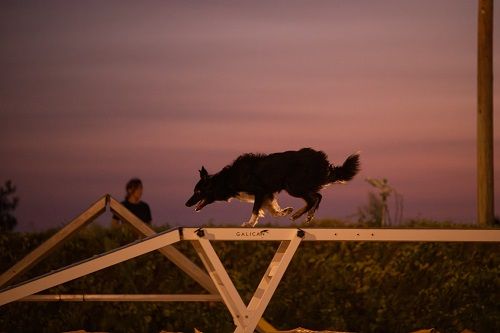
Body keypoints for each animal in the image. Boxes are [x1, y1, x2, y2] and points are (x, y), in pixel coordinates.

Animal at [185, 147, 360, 226]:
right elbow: (272, 210)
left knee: (315, 197)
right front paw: (283, 212)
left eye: (197, 191)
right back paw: (302, 214)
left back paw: (303, 214)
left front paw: (249, 224)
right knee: (315, 197)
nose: (186, 204)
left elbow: (255, 210)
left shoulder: (260, 191)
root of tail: (321, 158)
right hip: (298, 186)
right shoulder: (267, 194)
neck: (228, 179)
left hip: (293, 186)